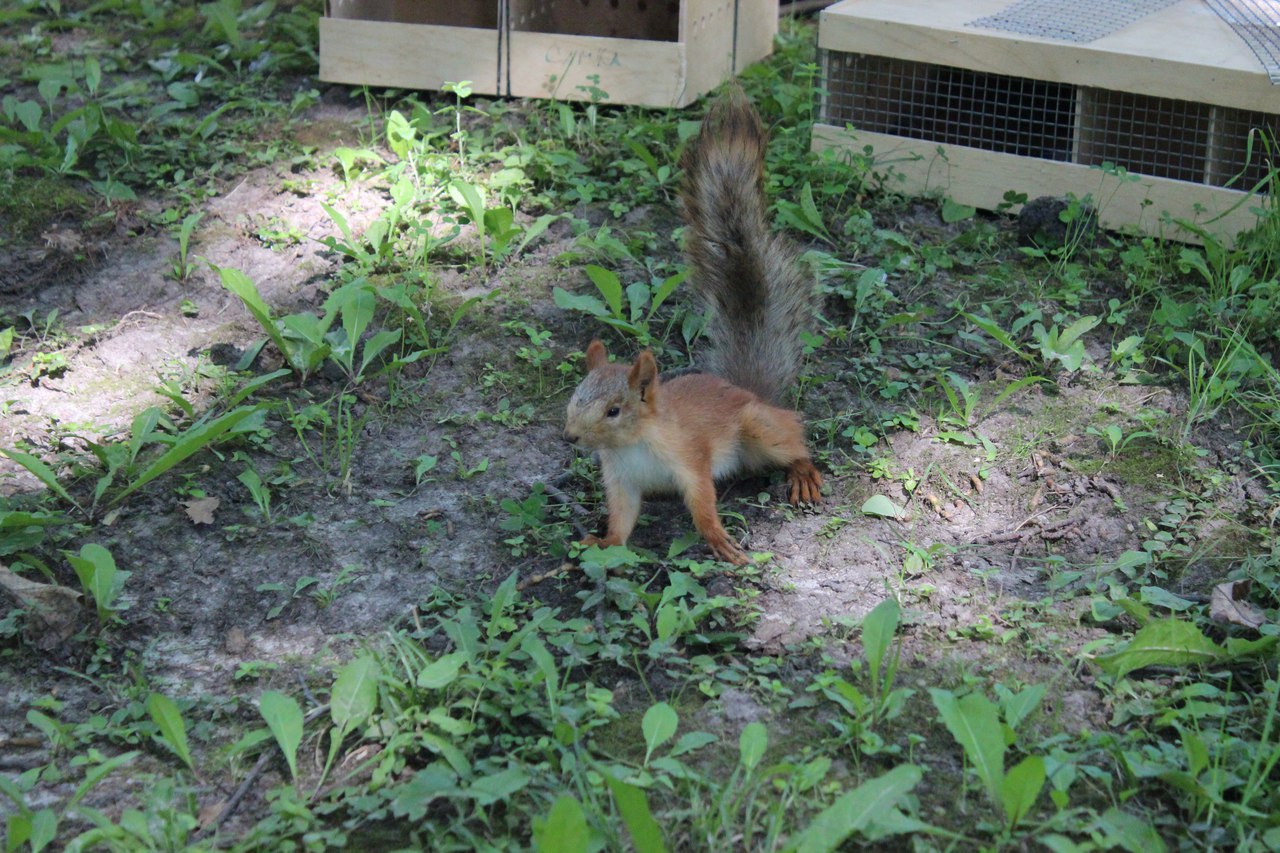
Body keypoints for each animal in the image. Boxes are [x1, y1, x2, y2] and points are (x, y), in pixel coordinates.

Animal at [565, 86, 824, 563]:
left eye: (614, 410)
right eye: (575, 399)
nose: (571, 437)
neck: (632, 446)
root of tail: (750, 392)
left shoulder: (691, 458)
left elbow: (703, 503)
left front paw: (720, 541)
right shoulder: (620, 482)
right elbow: (621, 518)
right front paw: (604, 542)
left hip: (761, 428)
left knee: (796, 439)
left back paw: (802, 472)